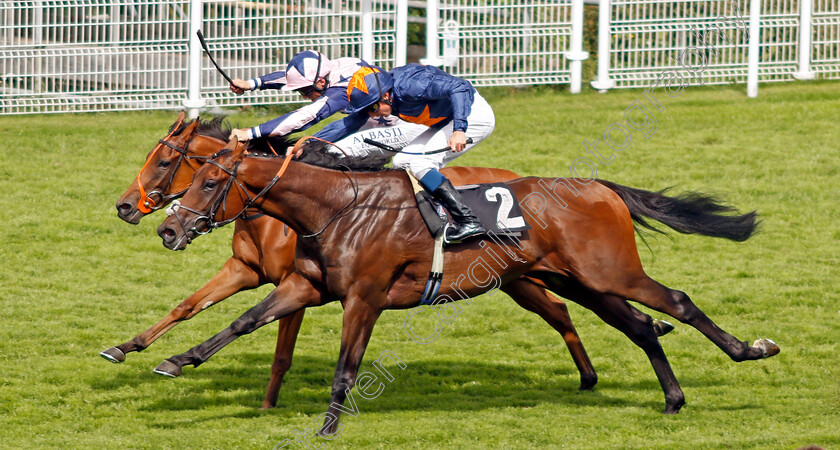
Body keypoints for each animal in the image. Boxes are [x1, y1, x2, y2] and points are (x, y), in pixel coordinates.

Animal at [103, 111, 624, 408]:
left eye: (165, 162)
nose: (127, 207)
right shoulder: (247, 270)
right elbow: (188, 306)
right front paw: (127, 348)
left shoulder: (295, 283)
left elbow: (280, 350)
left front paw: (269, 404)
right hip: (516, 278)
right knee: (561, 309)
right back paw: (591, 374)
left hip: (520, 276)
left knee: (564, 308)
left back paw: (597, 368)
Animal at [153, 138, 780, 428]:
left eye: (207, 182)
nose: (167, 229)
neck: (338, 206)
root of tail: (600, 186)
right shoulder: (307, 286)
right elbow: (242, 321)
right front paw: (176, 361)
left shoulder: (364, 298)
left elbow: (346, 367)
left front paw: (329, 426)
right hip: (576, 281)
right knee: (643, 327)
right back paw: (672, 398)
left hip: (610, 271)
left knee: (677, 302)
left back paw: (750, 350)